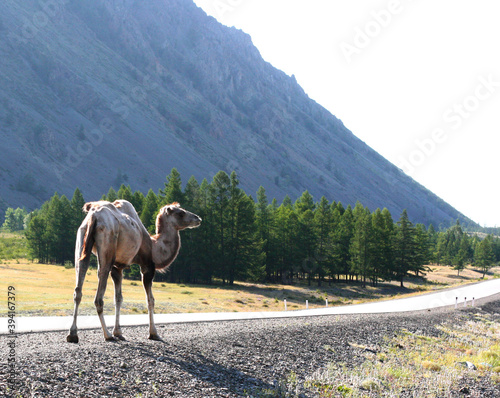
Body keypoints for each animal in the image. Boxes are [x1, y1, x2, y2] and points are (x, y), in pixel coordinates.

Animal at [66, 199, 201, 342]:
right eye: (181, 213)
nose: (198, 218)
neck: (154, 246)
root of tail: (93, 217)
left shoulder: (117, 267)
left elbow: (118, 298)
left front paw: (118, 332)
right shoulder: (147, 266)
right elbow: (150, 300)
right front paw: (153, 333)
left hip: (82, 238)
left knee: (78, 285)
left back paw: (72, 334)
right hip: (107, 243)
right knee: (99, 296)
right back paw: (107, 335)